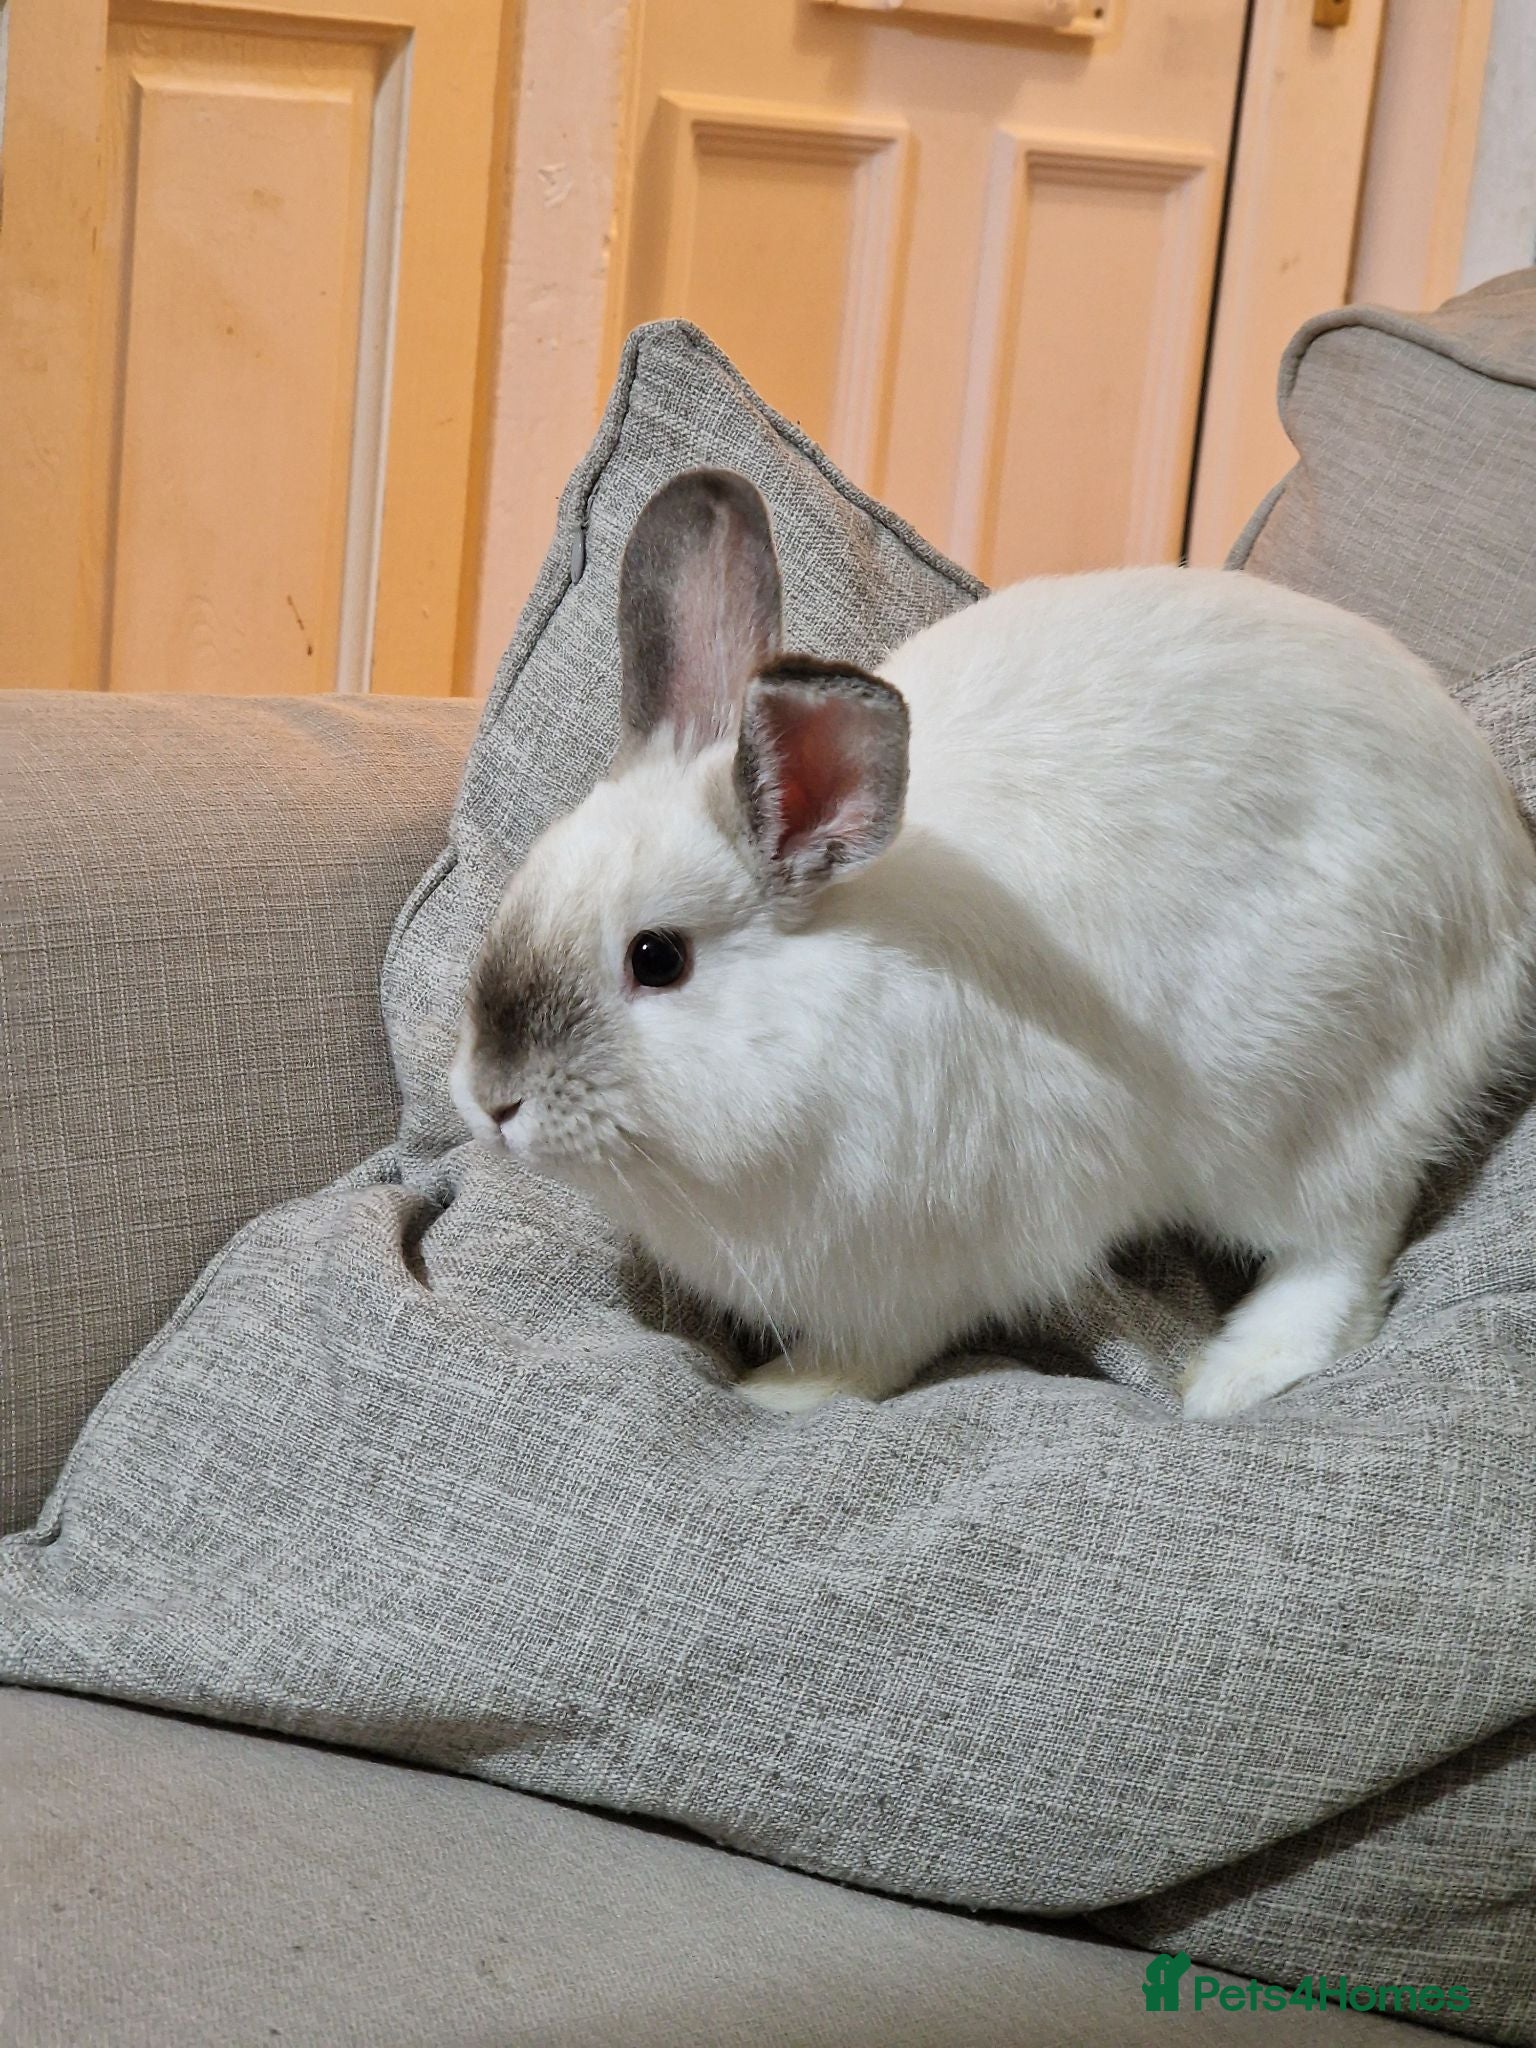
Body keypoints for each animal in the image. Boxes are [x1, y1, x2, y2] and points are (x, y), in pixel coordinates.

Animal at [451, 468, 1536, 1419]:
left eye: (657, 958)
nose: (495, 1099)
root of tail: (1505, 868)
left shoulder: (926, 1261)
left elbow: (875, 1349)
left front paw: (782, 1390)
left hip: (1310, 1105)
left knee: (1344, 1249)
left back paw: (1234, 1377)